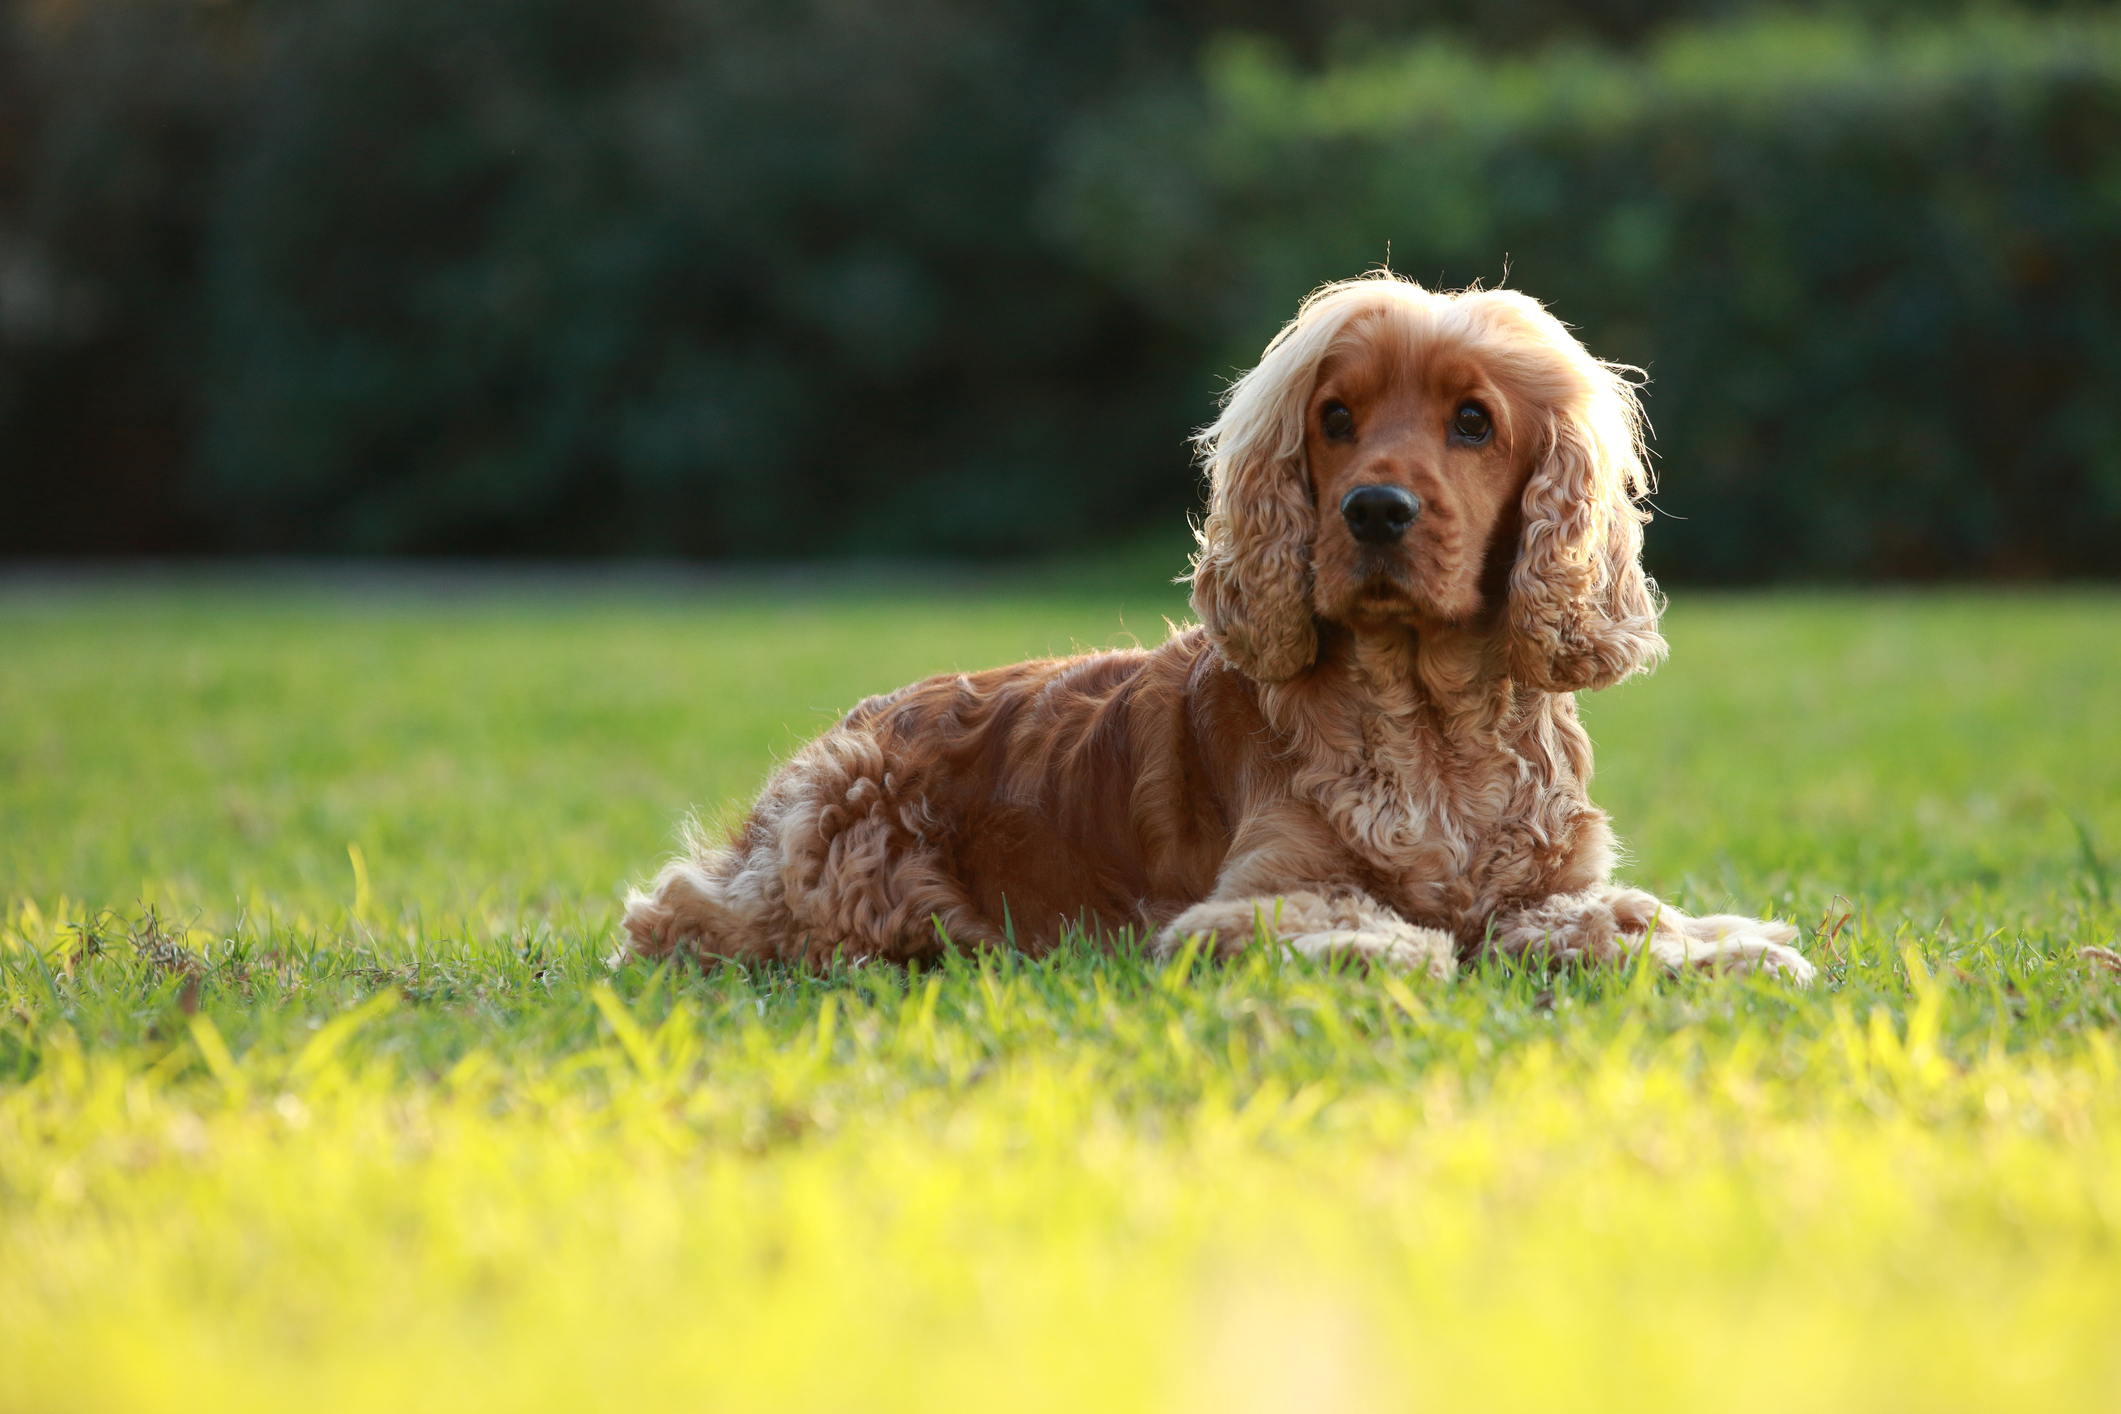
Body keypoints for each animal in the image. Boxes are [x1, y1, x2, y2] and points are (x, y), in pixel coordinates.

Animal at [619, 273, 1815, 983]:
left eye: (1474, 422)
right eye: (1335, 419)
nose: (1373, 510)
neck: (1430, 724)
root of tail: (844, 729)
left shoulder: (1550, 882)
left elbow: (1619, 914)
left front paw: (1732, 946)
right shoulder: (1241, 904)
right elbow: (1412, 934)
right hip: (843, 876)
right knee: (674, 918)